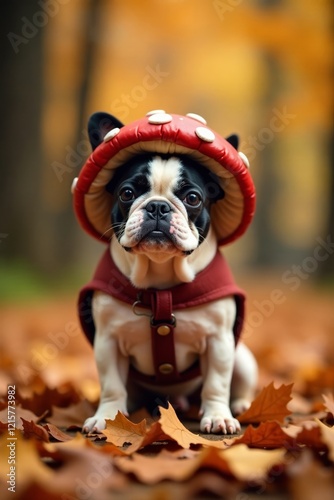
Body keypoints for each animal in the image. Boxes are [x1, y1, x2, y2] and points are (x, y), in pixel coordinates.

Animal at [75, 110, 258, 434]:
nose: (158, 207)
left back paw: (239, 406)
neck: (160, 276)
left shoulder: (220, 341)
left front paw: (218, 416)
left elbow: (217, 383)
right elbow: (111, 384)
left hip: (243, 359)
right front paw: (106, 417)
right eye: (127, 193)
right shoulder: (107, 341)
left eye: (193, 198)